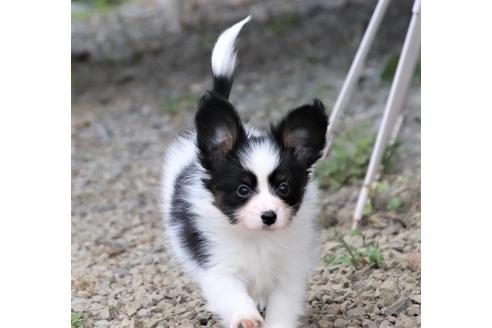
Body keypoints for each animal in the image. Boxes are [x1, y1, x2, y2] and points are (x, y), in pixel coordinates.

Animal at [161, 15, 328, 328]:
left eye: (284, 188)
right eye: (242, 190)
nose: (269, 216)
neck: (257, 238)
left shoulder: (289, 272)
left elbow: (282, 308)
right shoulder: (218, 266)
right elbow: (231, 295)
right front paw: (246, 318)